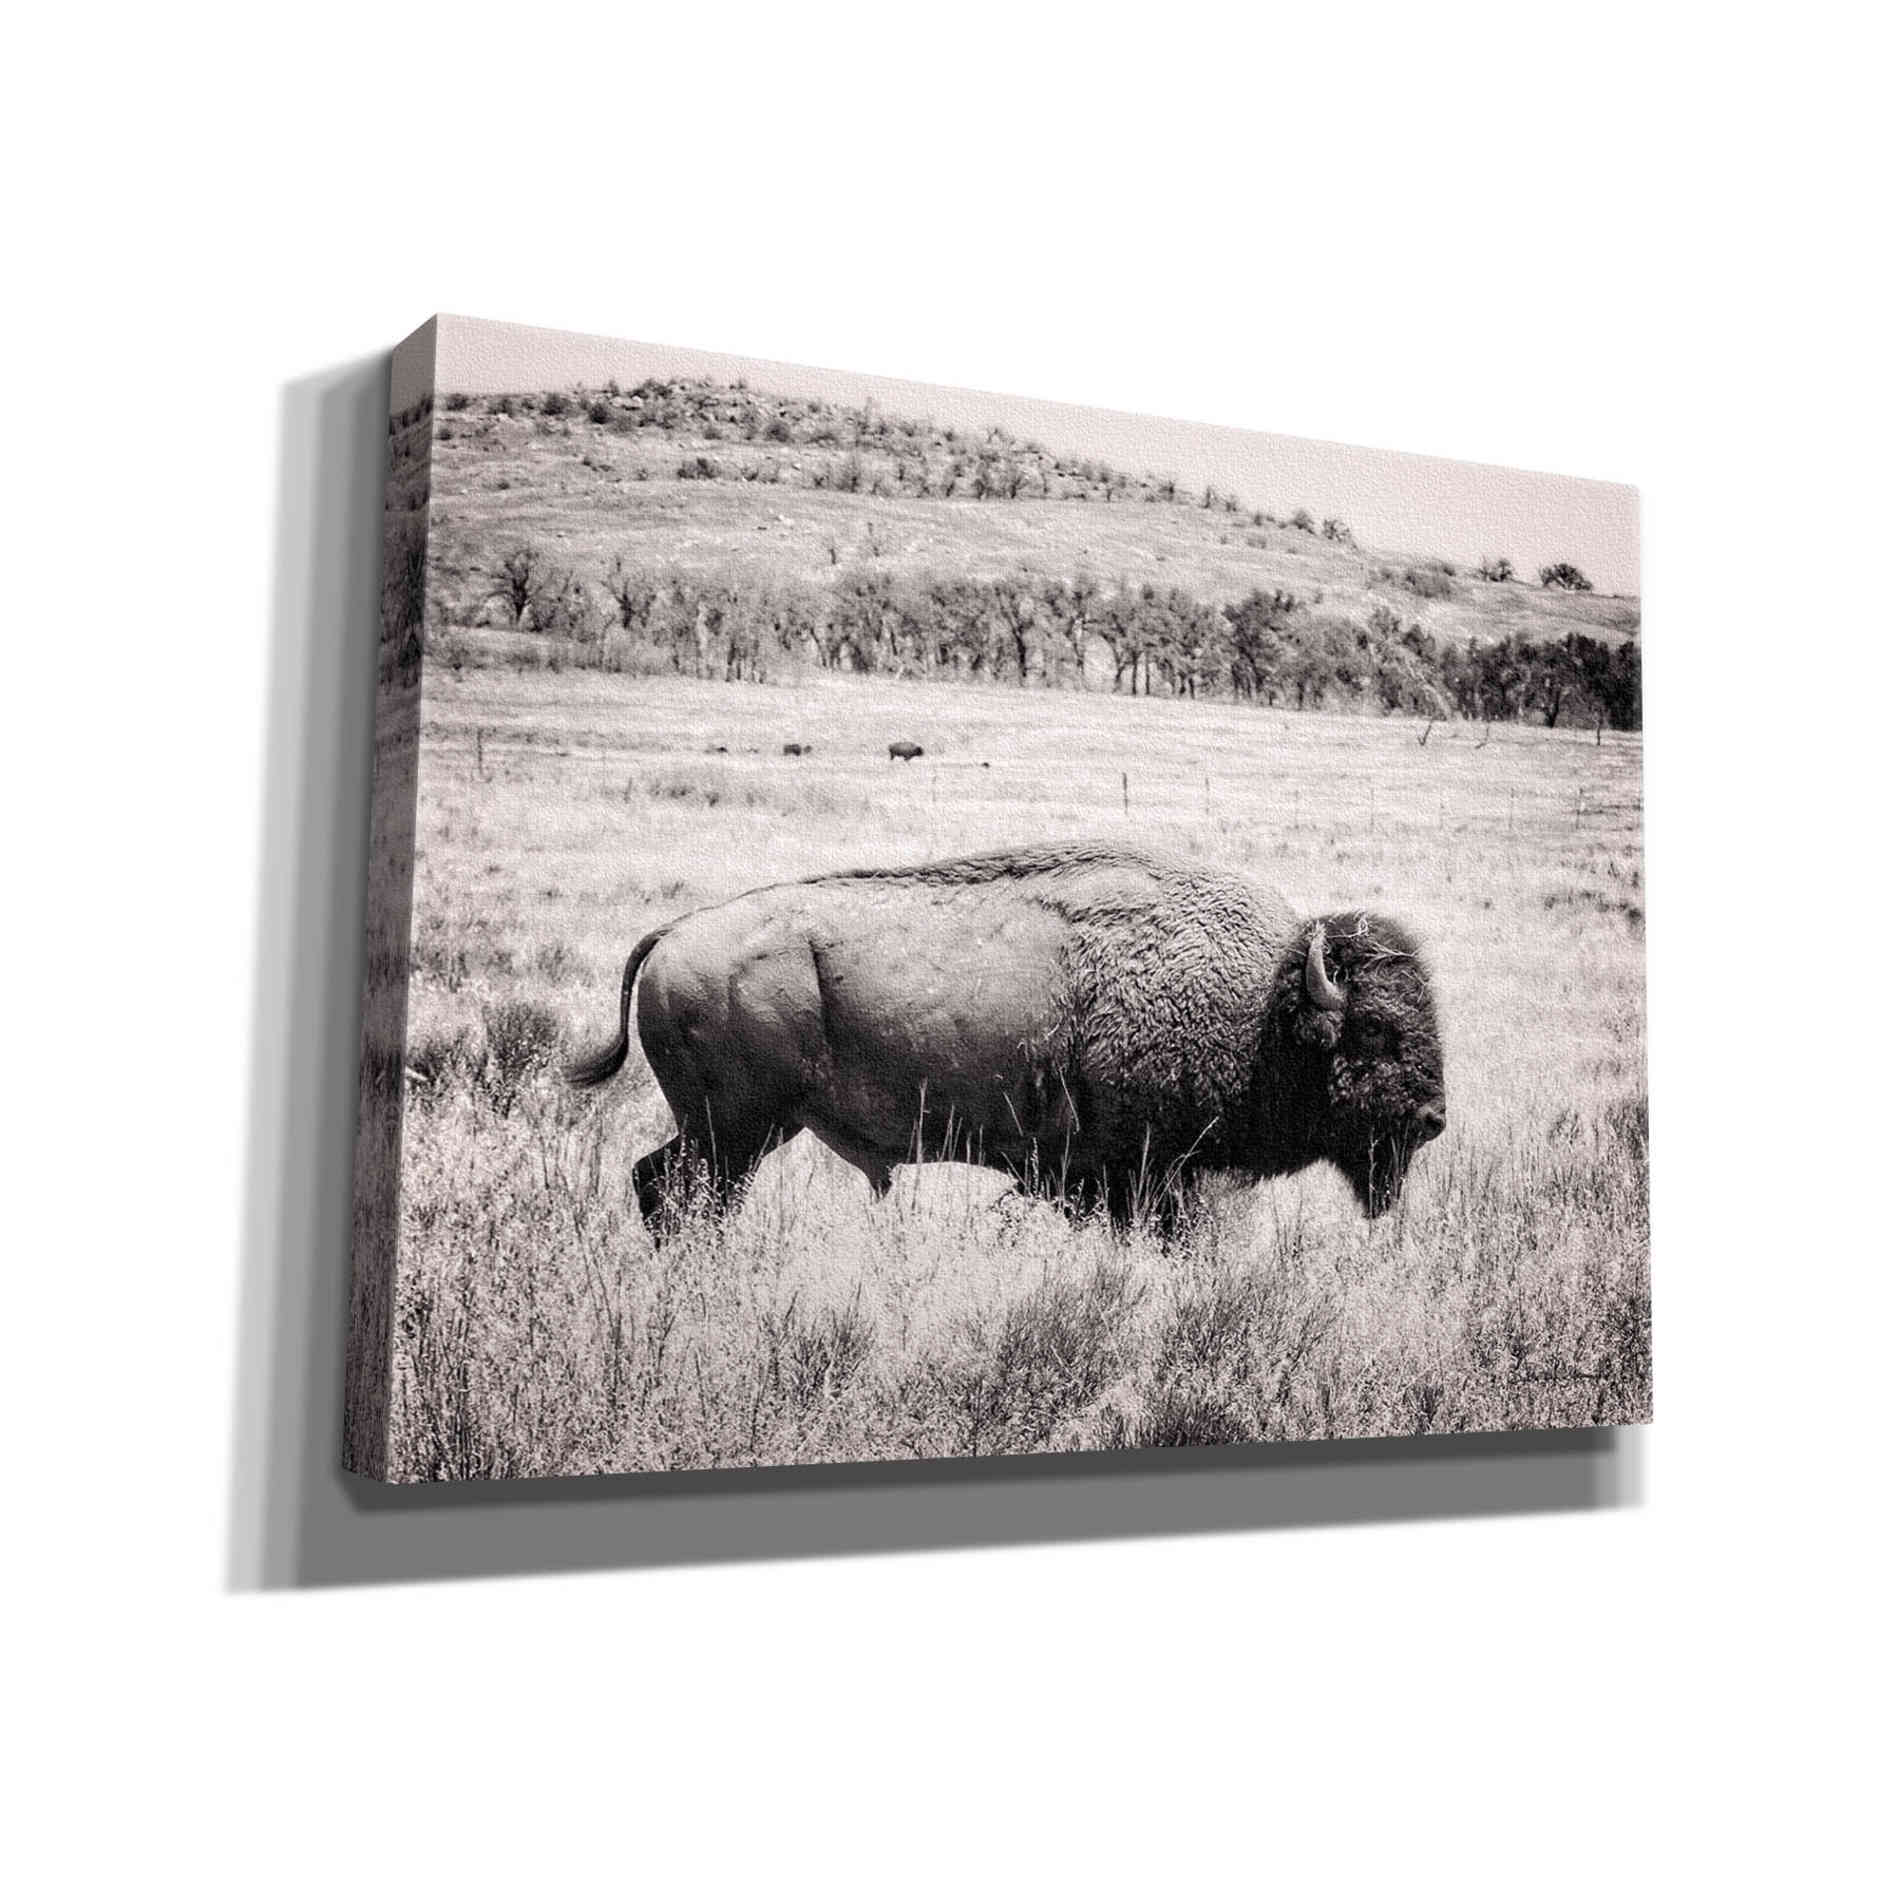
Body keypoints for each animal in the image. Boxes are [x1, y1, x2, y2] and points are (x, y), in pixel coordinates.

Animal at [568, 840, 1445, 1233]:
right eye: (1375, 1029)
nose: (1433, 1118)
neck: (1263, 1004)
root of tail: (676, 931)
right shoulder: (1141, 1178)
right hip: (735, 1134)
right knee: (684, 1197)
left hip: (740, 1131)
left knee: (655, 1183)